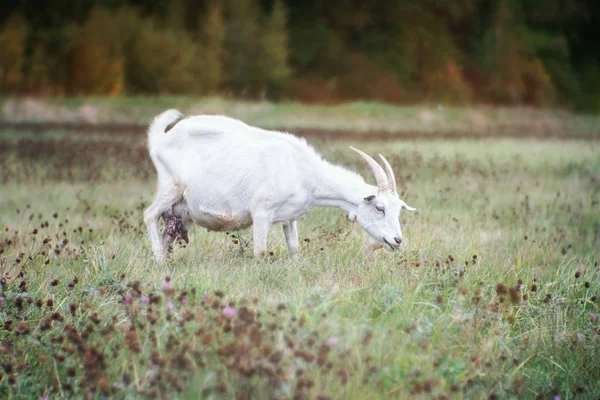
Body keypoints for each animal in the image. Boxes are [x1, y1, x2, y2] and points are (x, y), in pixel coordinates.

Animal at [145, 108, 418, 262]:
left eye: (398, 209)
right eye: (379, 208)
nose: (397, 240)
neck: (306, 173)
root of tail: (160, 138)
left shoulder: (290, 218)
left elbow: (294, 248)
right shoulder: (261, 212)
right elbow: (260, 252)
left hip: (181, 212)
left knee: (167, 232)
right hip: (170, 187)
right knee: (149, 215)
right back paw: (159, 261)